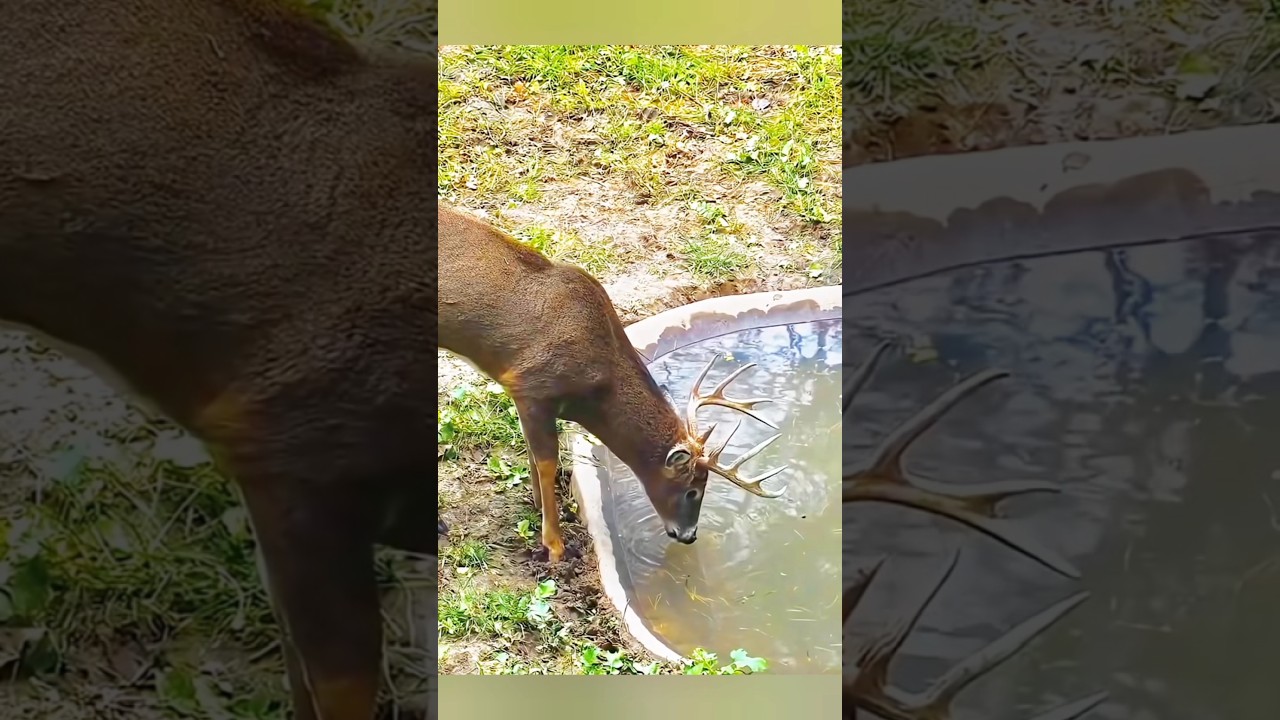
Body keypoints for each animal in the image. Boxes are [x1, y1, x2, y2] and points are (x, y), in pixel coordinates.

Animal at [437, 205, 789, 563]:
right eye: (693, 489)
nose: (688, 535)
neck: (596, 389)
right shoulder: (532, 383)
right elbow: (547, 460)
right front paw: (554, 546)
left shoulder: (523, 394)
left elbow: (533, 454)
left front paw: (539, 508)